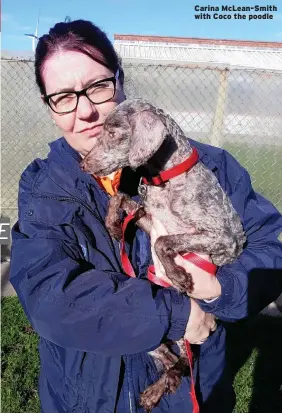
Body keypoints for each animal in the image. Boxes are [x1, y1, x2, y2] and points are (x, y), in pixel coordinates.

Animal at [80, 99, 247, 408]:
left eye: (112, 132)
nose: (83, 164)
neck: (166, 180)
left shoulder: (224, 239)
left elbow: (165, 242)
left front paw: (178, 276)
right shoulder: (149, 219)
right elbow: (119, 197)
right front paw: (113, 226)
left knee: (182, 366)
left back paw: (159, 388)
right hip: (155, 336)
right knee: (172, 362)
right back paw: (156, 389)